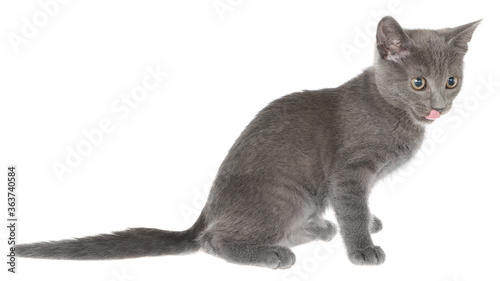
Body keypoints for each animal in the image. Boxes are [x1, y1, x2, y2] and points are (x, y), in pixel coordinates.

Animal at [18, 17, 480, 266]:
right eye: (418, 82)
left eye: (451, 81)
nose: (439, 107)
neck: (393, 111)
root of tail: (207, 212)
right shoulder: (349, 172)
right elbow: (352, 207)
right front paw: (363, 248)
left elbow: (357, 208)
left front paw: (369, 221)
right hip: (285, 194)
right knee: (213, 241)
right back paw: (273, 254)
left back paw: (316, 227)